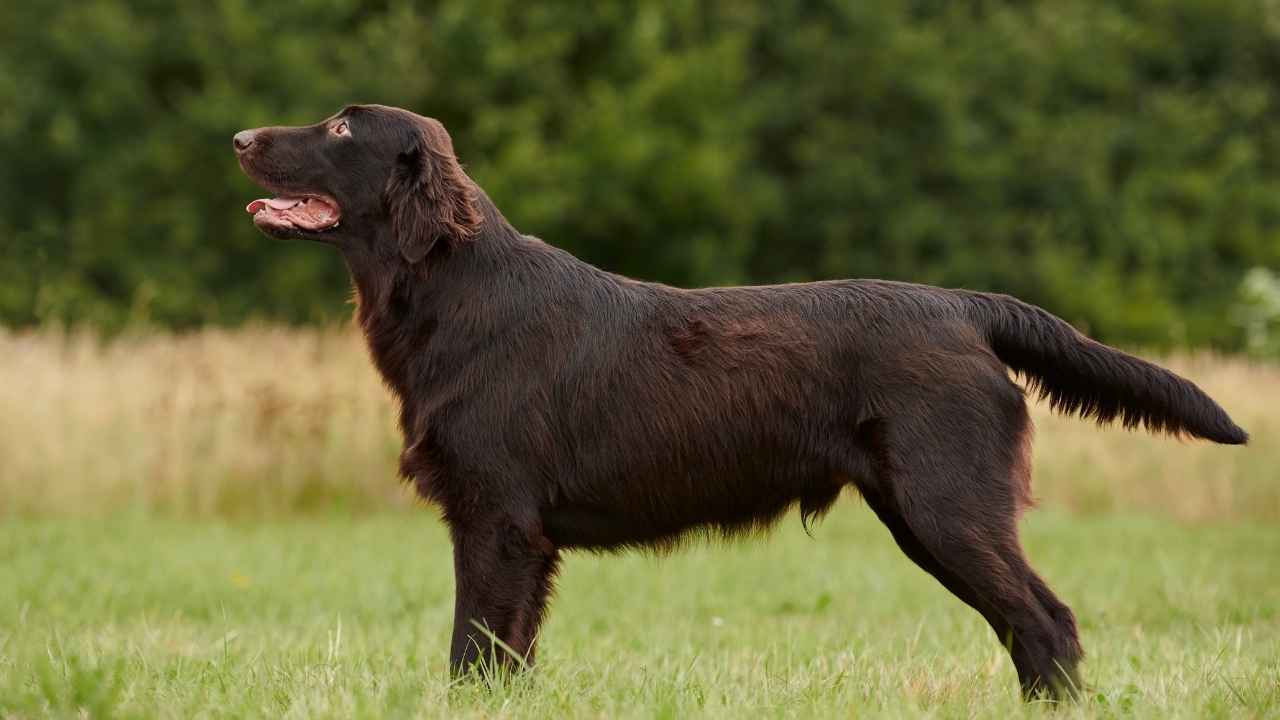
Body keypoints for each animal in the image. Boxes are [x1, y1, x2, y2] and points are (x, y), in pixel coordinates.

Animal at [235, 103, 1244, 696]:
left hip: (948, 506)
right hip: (920, 513)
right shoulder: (518, 533)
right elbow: (506, 657)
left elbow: (472, 653)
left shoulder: (497, 519)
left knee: (1045, 623)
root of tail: (964, 305)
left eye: (341, 129)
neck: (452, 291)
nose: (240, 140)